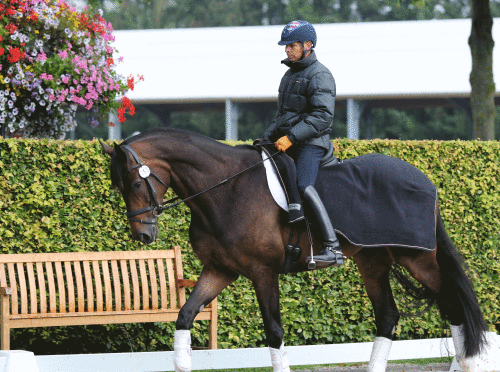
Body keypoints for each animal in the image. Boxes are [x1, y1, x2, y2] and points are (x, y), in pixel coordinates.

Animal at [100, 128, 488, 372]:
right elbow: (184, 316)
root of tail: (425, 179)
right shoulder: (220, 269)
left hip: (417, 258)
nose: (143, 236)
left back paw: (468, 363)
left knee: (452, 303)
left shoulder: (262, 272)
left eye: (135, 183)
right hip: (373, 262)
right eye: (118, 185)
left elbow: (274, 331)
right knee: (388, 317)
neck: (224, 189)